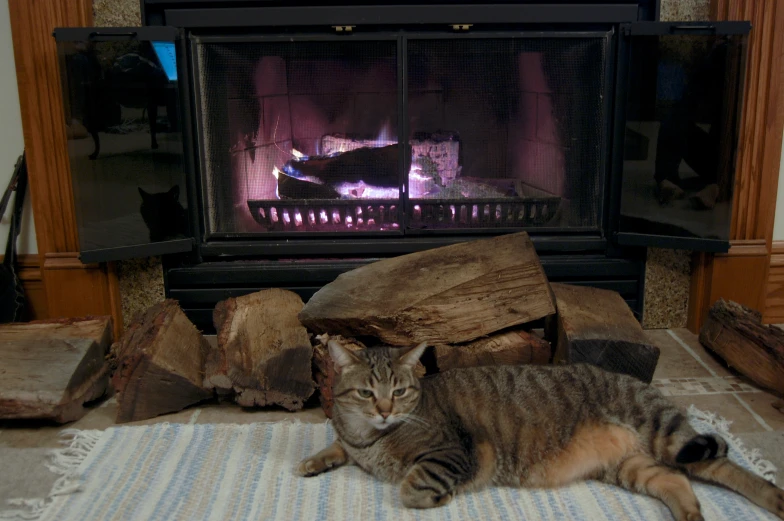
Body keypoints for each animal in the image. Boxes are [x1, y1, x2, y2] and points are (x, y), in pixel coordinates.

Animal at [298, 342, 780, 520]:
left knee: (724, 465)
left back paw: (772, 497)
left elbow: (411, 488)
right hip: (632, 466)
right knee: (679, 480)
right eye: (366, 392)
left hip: (665, 432)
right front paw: (314, 460)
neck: (371, 438)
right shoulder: (353, 440)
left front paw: (442, 496)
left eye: (399, 391)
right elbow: (337, 446)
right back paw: (690, 516)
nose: (383, 410)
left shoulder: (454, 452)